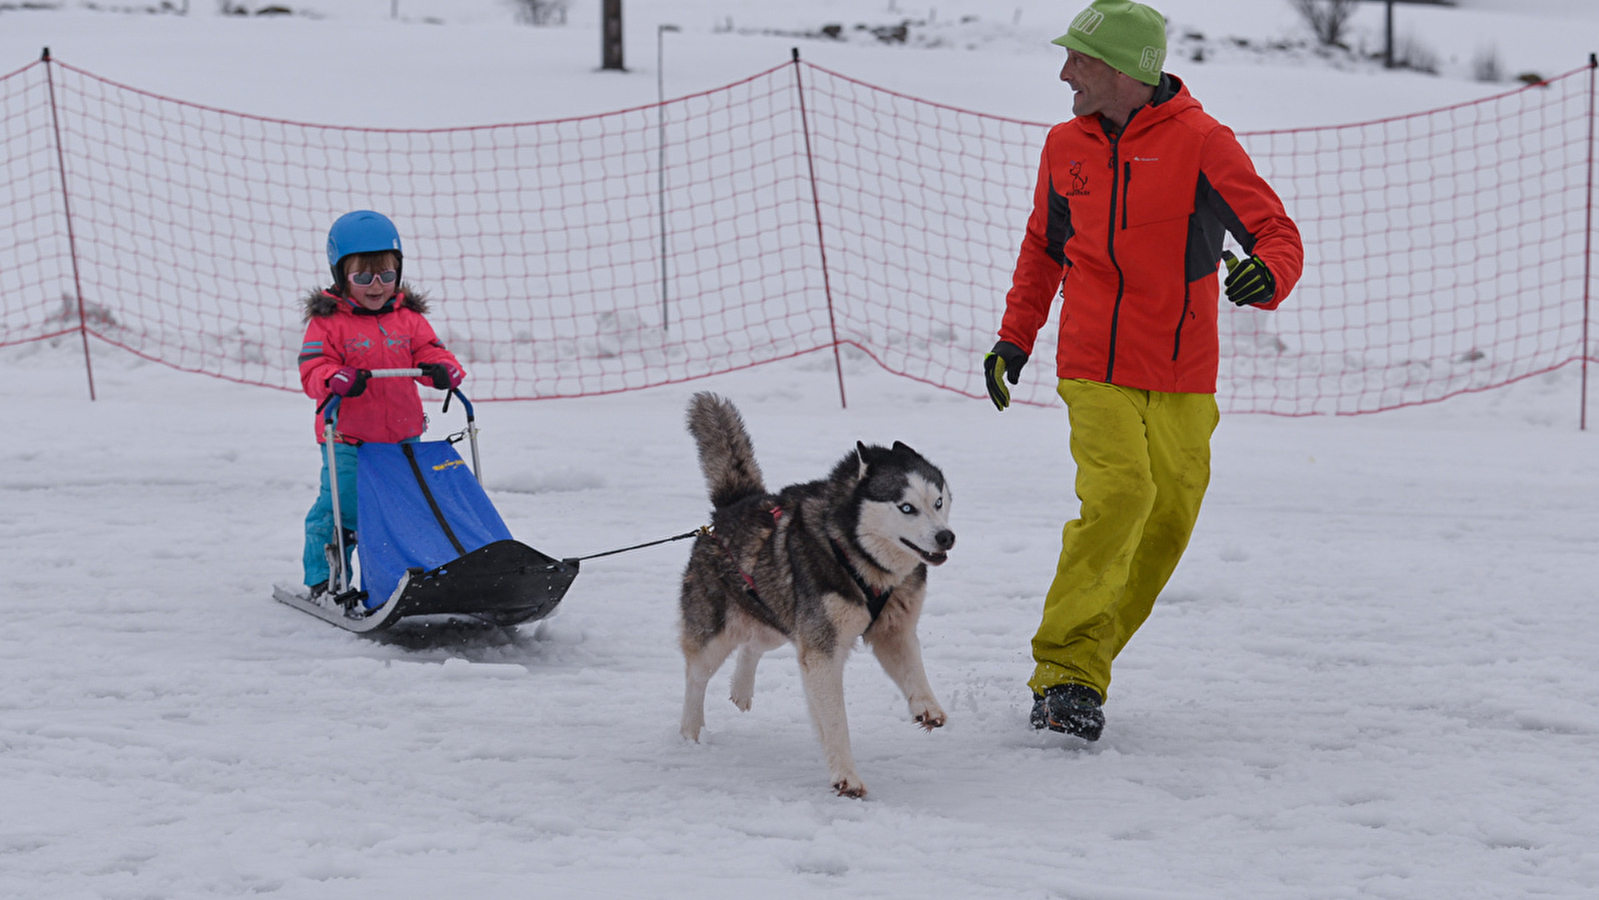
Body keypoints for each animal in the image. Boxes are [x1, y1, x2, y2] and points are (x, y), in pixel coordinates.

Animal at [681, 393, 953, 796]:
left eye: (937, 502)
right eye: (907, 507)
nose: (946, 537)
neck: (857, 554)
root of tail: (729, 510)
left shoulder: (893, 630)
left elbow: (913, 669)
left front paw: (927, 705)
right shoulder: (822, 652)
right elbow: (835, 721)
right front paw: (846, 776)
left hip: (776, 617)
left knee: (753, 645)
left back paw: (741, 689)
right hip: (716, 635)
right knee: (696, 677)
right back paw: (689, 732)